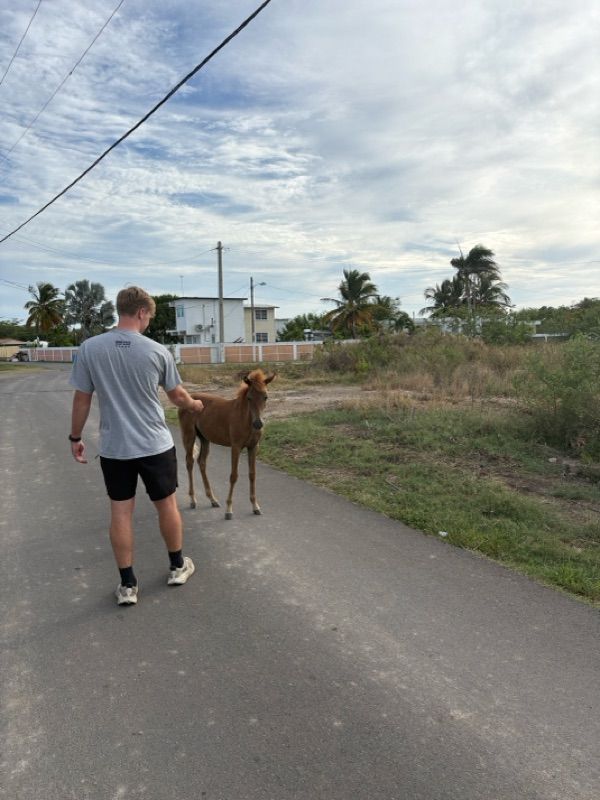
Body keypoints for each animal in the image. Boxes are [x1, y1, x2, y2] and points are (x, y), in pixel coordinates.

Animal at [178, 368, 276, 519]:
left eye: (265, 397)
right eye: (249, 398)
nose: (258, 424)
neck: (245, 418)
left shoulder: (253, 447)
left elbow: (252, 474)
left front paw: (255, 506)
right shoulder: (236, 447)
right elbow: (233, 476)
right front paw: (229, 510)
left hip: (205, 439)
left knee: (201, 462)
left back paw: (212, 499)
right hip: (189, 436)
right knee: (189, 462)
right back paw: (193, 500)